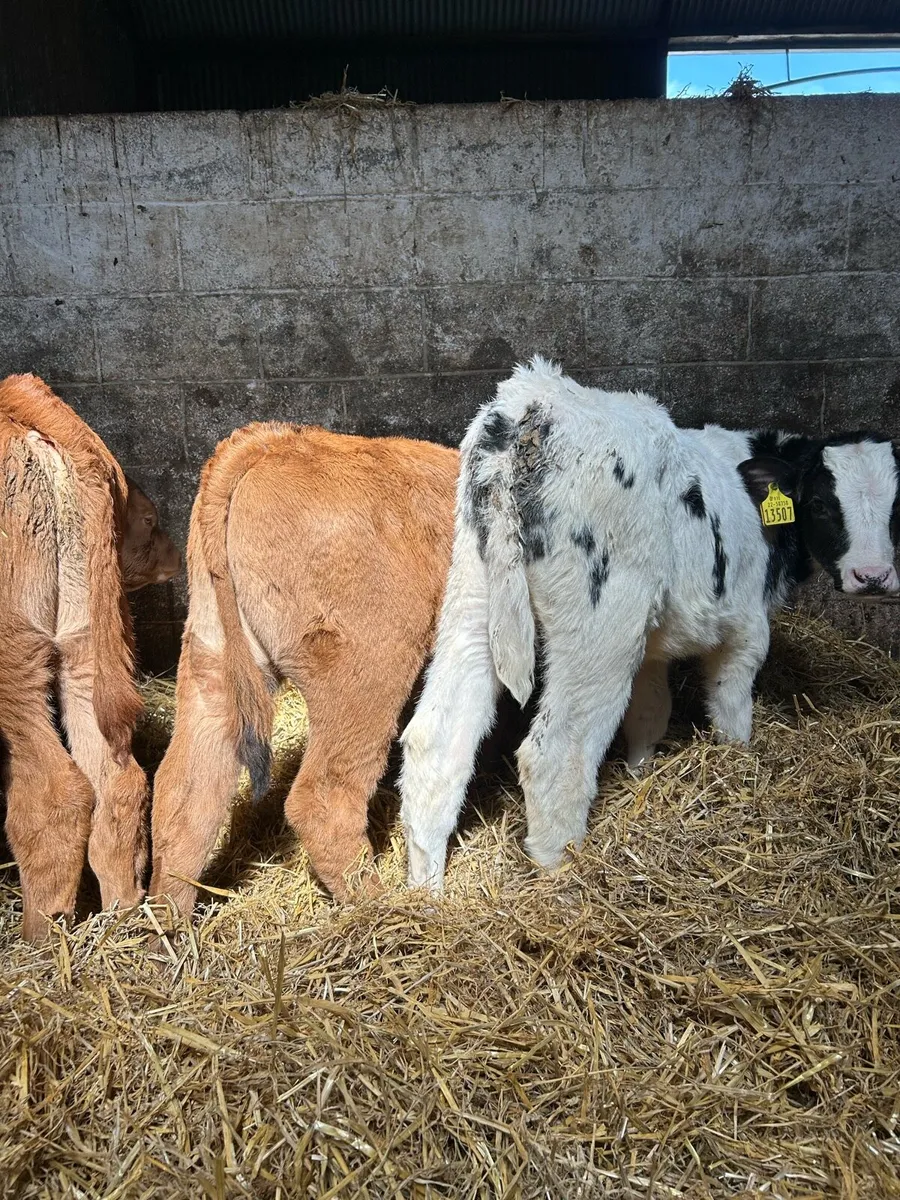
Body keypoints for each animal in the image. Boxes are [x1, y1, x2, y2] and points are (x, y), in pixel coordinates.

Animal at [0, 373, 180, 942]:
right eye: (148, 521)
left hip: (15, 654)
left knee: (54, 790)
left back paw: (42, 935)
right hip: (84, 644)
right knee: (114, 779)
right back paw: (121, 908)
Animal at [147, 421, 458, 920]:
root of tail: (274, 440)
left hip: (212, 660)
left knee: (184, 793)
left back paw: (168, 925)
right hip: (368, 667)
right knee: (323, 798)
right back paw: (383, 909)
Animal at [399, 357, 900, 891]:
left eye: (898, 508)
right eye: (821, 503)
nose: (872, 576)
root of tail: (533, 402)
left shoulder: (650, 648)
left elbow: (649, 713)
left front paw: (642, 771)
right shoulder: (746, 628)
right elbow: (731, 709)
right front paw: (737, 763)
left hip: (474, 600)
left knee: (436, 740)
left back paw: (428, 890)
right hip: (599, 627)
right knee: (554, 754)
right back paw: (562, 877)